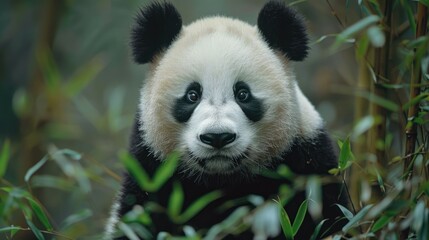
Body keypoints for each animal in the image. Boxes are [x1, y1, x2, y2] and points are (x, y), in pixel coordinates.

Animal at [106, 0, 348, 239]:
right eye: (192, 95)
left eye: (243, 94)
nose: (217, 137)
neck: (221, 181)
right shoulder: (151, 174)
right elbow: (138, 222)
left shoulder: (308, 167)